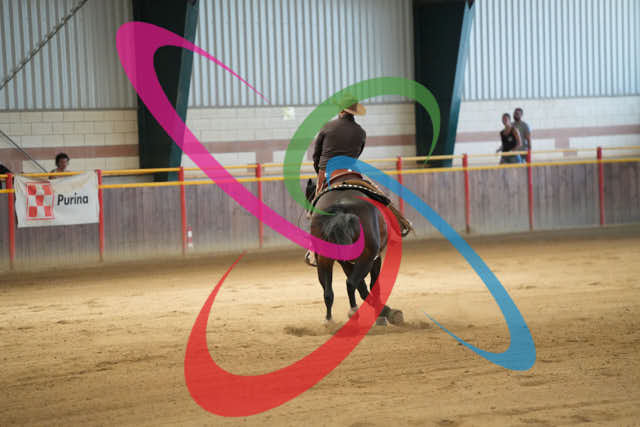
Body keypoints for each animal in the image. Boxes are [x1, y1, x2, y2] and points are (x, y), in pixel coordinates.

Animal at [305, 178, 404, 326]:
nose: (307, 214)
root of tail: (341, 206)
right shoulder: (374, 258)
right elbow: (371, 285)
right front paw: (382, 316)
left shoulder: (345, 262)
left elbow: (362, 286)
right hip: (367, 257)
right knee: (352, 283)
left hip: (325, 259)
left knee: (329, 291)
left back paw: (329, 320)